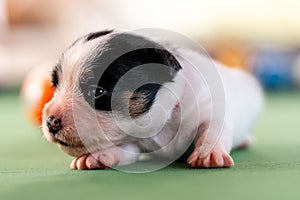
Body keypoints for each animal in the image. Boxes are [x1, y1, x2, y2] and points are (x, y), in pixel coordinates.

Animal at [41, 30, 262, 170]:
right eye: (55, 85)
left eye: (97, 91)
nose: (51, 122)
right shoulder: (134, 142)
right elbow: (122, 151)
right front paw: (95, 156)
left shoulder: (211, 108)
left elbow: (213, 130)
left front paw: (209, 153)